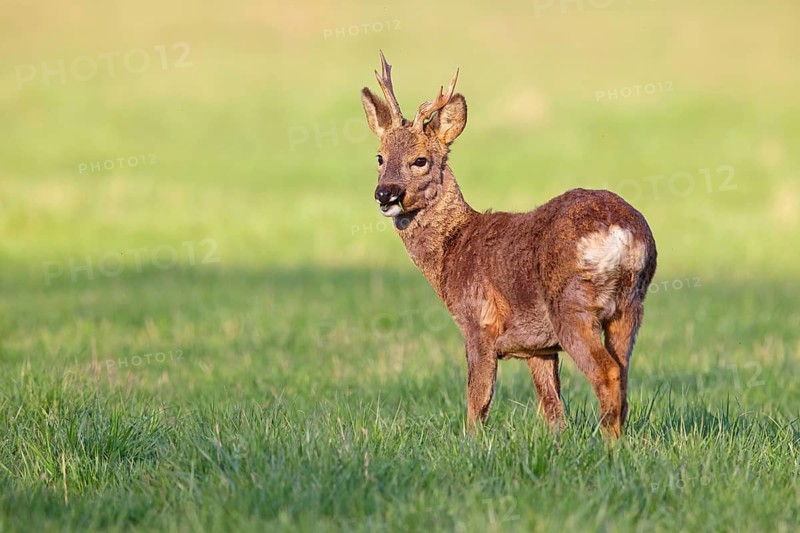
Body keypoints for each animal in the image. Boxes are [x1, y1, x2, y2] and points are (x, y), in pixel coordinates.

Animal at [360, 52, 657, 438]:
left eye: (420, 160)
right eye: (380, 157)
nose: (386, 194)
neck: (453, 249)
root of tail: (623, 233)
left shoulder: (478, 323)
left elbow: (477, 402)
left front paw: (470, 443)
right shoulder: (537, 347)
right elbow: (553, 410)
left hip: (572, 304)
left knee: (607, 373)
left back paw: (606, 444)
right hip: (630, 307)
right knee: (622, 373)